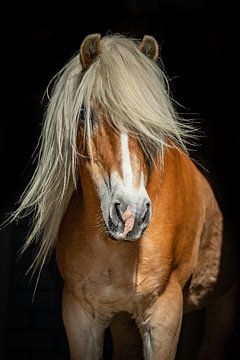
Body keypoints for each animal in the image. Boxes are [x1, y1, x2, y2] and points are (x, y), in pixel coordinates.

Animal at [9, 33, 238, 360]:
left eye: (151, 125)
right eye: (86, 114)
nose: (131, 214)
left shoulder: (163, 315)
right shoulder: (81, 316)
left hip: (223, 303)